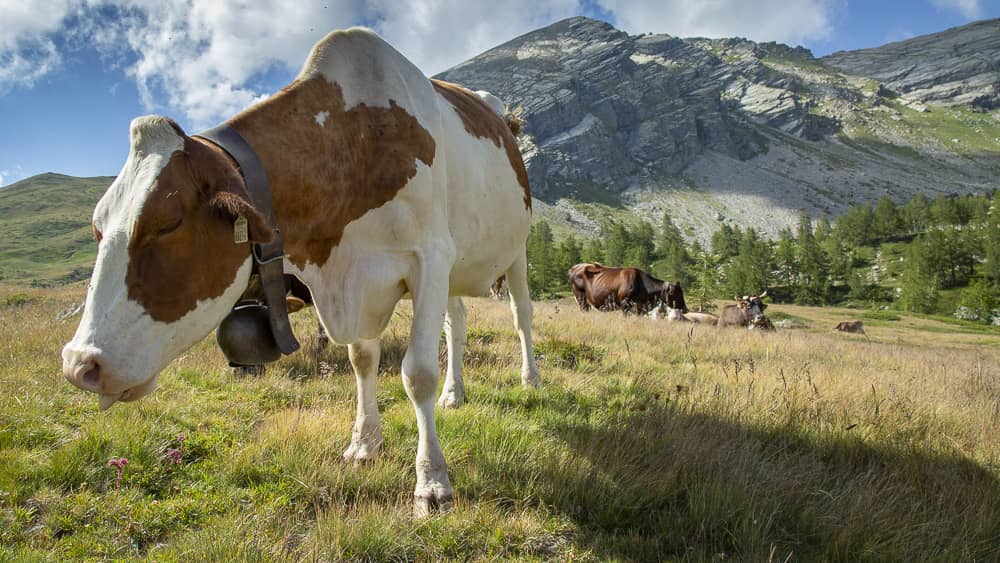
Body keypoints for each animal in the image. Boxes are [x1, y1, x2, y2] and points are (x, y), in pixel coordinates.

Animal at [61, 28, 540, 516]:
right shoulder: (371, 278)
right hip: (455, 264)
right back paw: (454, 393)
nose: (80, 365)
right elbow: (362, 359)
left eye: (167, 223)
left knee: (521, 315)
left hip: (515, 248)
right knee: (456, 323)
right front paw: (364, 444)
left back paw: (529, 379)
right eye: (98, 226)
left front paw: (432, 483)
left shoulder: (427, 258)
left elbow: (417, 374)